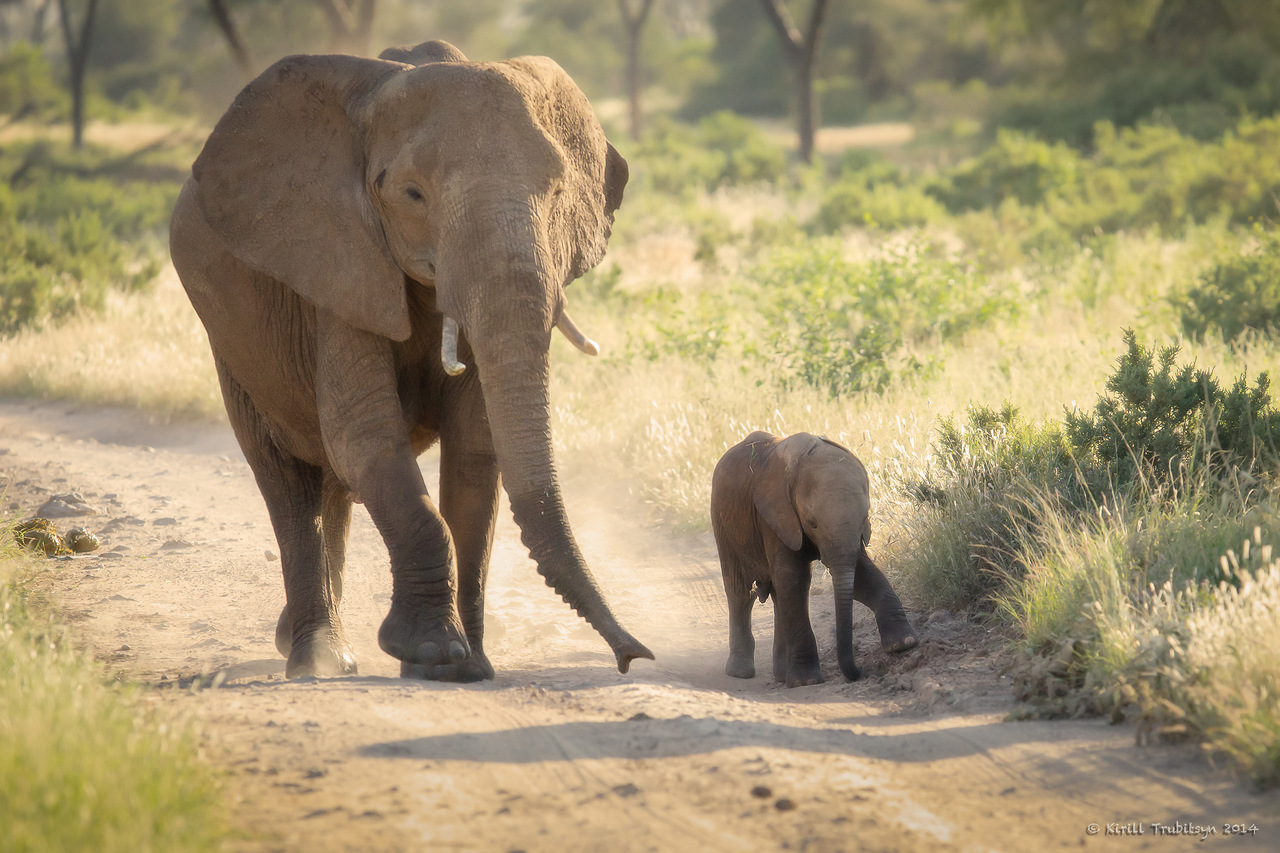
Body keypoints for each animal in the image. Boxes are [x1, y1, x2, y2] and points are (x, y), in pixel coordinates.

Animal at [170, 39, 650, 681]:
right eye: (412, 195)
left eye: (556, 194)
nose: (632, 655)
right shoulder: (336, 261)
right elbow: (366, 435)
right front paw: (431, 653)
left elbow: (474, 449)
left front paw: (467, 668)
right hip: (232, 345)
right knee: (288, 480)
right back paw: (317, 660)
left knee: (331, 482)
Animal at [716, 432, 916, 686]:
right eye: (812, 523)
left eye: (865, 518)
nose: (859, 672)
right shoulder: (774, 516)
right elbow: (793, 578)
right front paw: (807, 681)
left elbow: (862, 574)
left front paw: (903, 644)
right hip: (723, 525)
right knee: (740, 592)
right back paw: (741, 673)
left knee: (776, 595)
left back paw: (781, 675)